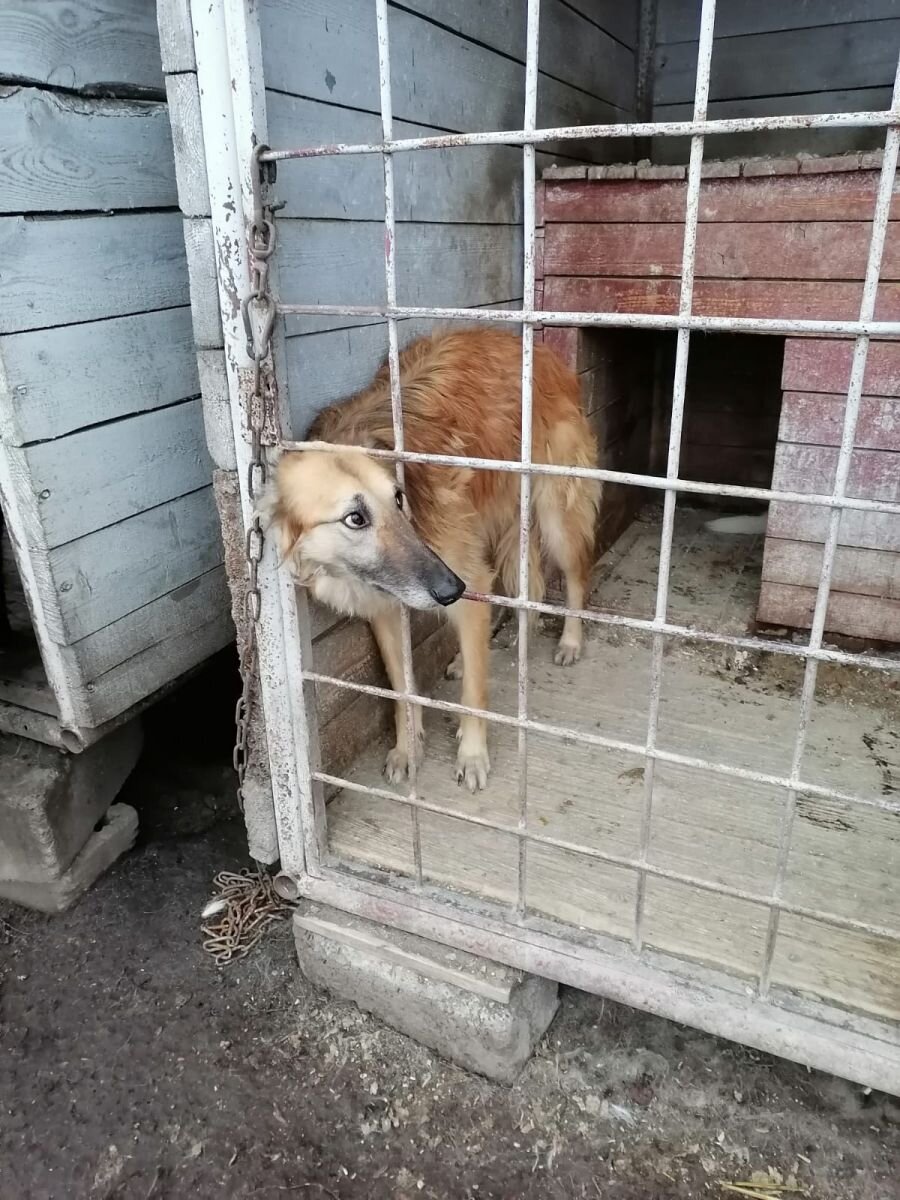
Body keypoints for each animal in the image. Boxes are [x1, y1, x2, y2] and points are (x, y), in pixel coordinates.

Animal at [260, 331, 600, 796]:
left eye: (398, 498)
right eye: (355, 518)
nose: (450, 590)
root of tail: (543, 351)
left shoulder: (464, 576)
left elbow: (475, 694)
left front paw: (472, 755)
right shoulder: (386, 607)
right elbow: (402, 687)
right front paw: (408, 749)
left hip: (554, 515)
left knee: (575, 575)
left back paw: (569, 641)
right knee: (520, 590)